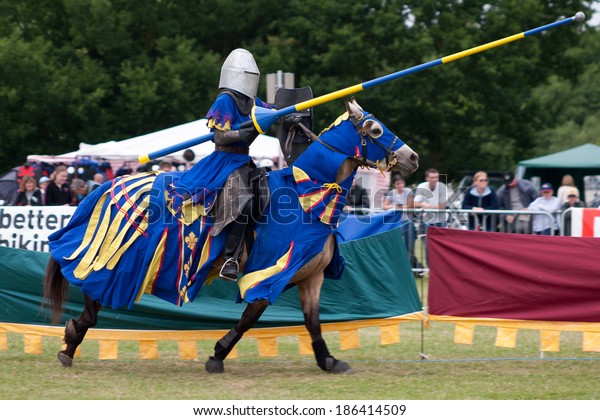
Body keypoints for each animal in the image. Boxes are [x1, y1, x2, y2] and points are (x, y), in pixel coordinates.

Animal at [43, 98, 418, 374]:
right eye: (375, 128)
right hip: (120, 258)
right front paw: (217, 355)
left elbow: (313, 322)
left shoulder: (311, 277)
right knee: (94, 294)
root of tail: (107, 186)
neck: (308, 194)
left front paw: (328, 360)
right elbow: (251, 316)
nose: (412, 157)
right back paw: (72, 339)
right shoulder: (269, 273)